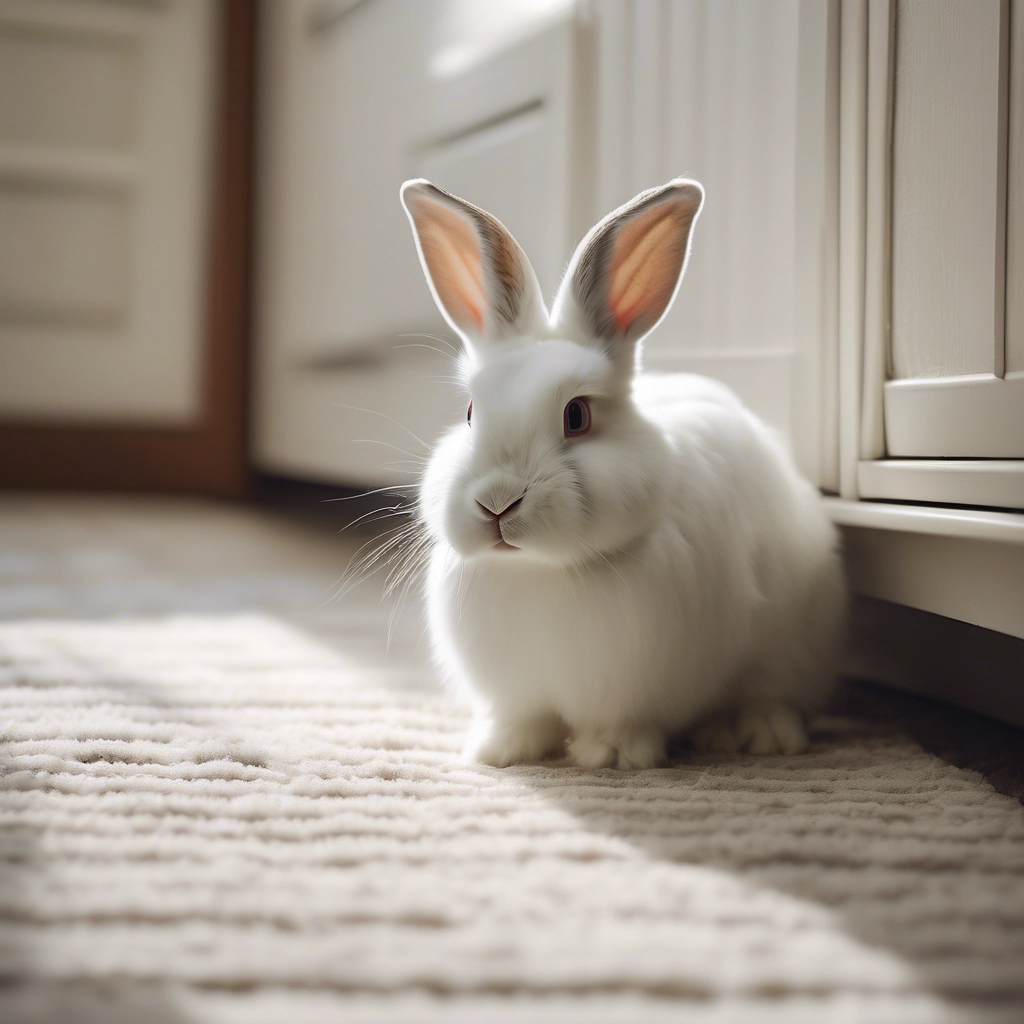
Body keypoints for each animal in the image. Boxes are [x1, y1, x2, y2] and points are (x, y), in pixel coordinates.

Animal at [400, 177, 845, 769]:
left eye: (577, 416)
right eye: (471, 413)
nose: (497, 503)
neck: (541, 570)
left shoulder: (635, 684)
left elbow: (622, 722)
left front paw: (611, 756)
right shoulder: (517, 691)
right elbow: (524, 717)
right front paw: (500, 751)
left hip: (790, 647)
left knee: (774, 693)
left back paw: (759, 735)